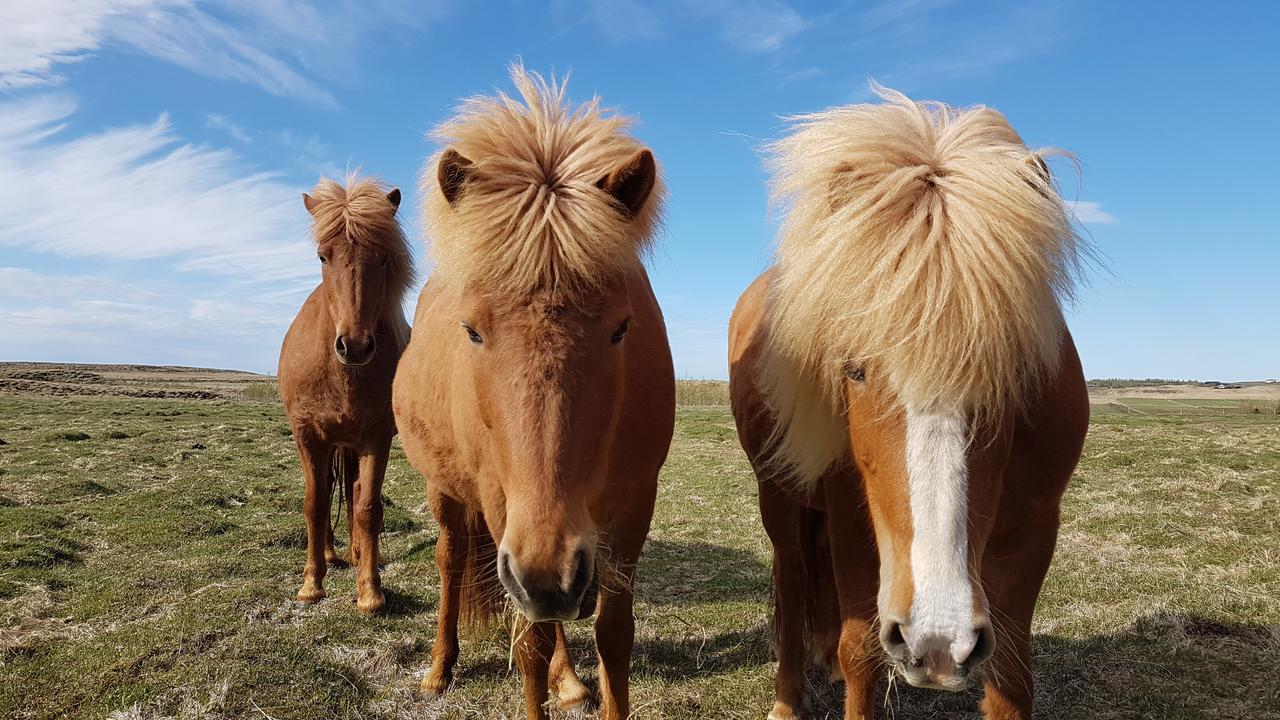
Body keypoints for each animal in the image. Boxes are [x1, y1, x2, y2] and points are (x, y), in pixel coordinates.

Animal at [279, 176, 409, 614]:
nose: (354, 346)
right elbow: (314, 504)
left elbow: (368, 507)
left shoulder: (376, 438)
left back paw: (354, 554)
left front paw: (370, 590)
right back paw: (330, 554)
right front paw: (311, 584)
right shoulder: (308, 437)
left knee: (352, 491)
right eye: (323, 256)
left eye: (383, 258)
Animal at [391, 67, 675, 717]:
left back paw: (569, 680)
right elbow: (530, 647)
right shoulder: (507, 514)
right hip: (454, 496)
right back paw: (439, 669)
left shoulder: (630, 509)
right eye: (472, 330)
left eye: (622, 328)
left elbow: (612, 635)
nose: (548, 574)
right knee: (451, 563)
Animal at [732, 88, 1090, 717]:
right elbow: (861, 655)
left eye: (1013, 372)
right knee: (793, 581)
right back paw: (787, 698)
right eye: (853, 369)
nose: (939, 641)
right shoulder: (851, 518)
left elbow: (1013, 678)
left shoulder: (1034, 530)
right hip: (779, 495)